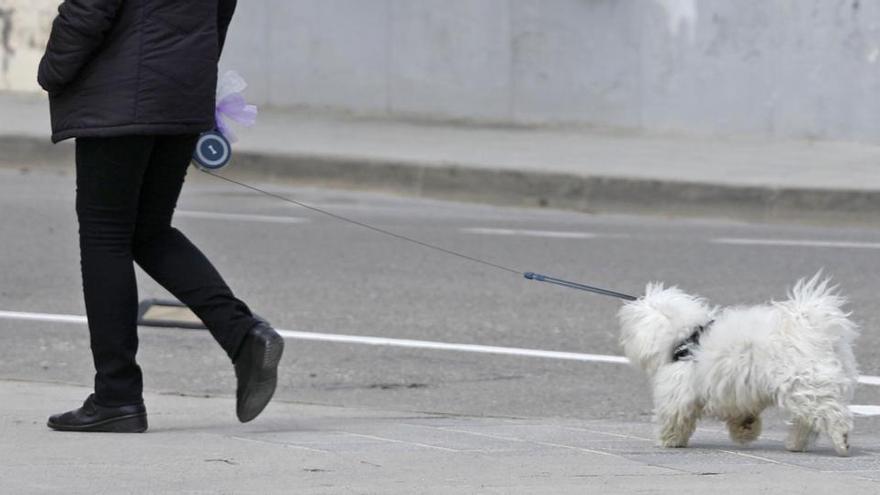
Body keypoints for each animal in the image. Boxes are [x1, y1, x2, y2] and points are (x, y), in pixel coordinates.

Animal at [620, 276, 860, 458]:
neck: (686, 336)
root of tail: (814, 329)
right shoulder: (735, 393)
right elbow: (741, 413)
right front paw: (745, 430)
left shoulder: (678, 390)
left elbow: (673, 416)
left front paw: (669, 440)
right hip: (806, 389)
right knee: (808, 419)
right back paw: (796, 443)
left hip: (803, 383)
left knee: (831, 413)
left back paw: (841, 440)